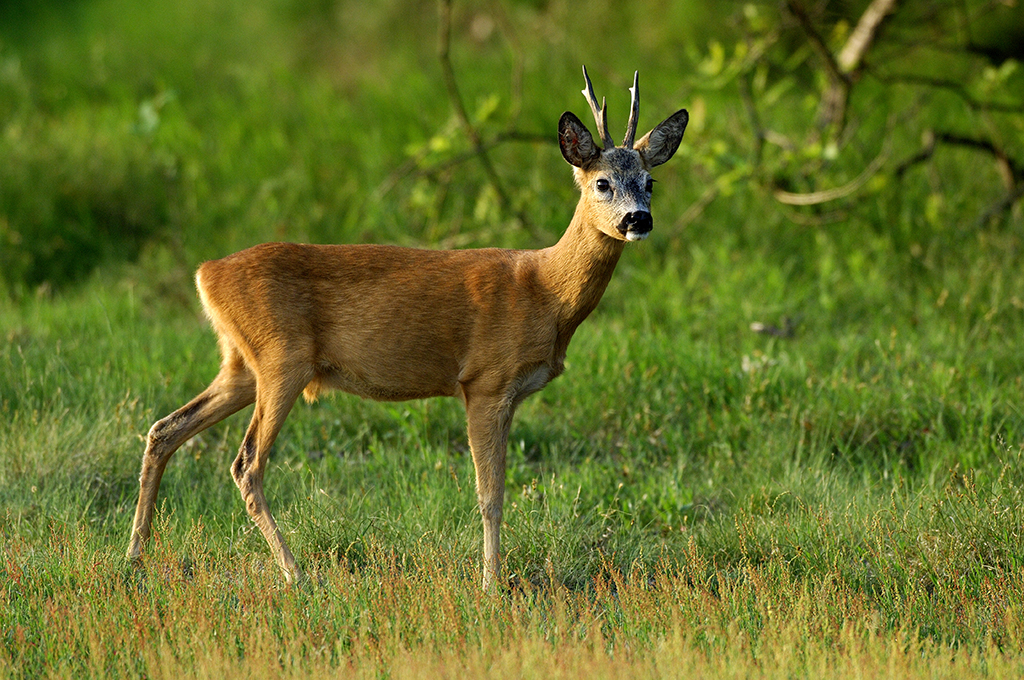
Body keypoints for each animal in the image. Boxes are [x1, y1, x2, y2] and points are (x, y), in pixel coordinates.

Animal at [128, 66, 688, 593]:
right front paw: (491, 584)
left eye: (650, 182)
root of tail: (206, 273)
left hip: (242, 364)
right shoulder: (484, 381)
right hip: (281, 359)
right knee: (245, 463)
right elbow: (490, 494)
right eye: (602, 182)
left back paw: (134, 558)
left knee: (165, 428)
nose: (638, 220)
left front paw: (494, 577)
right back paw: (298, 575)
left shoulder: (508, 393)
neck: (545, 290)